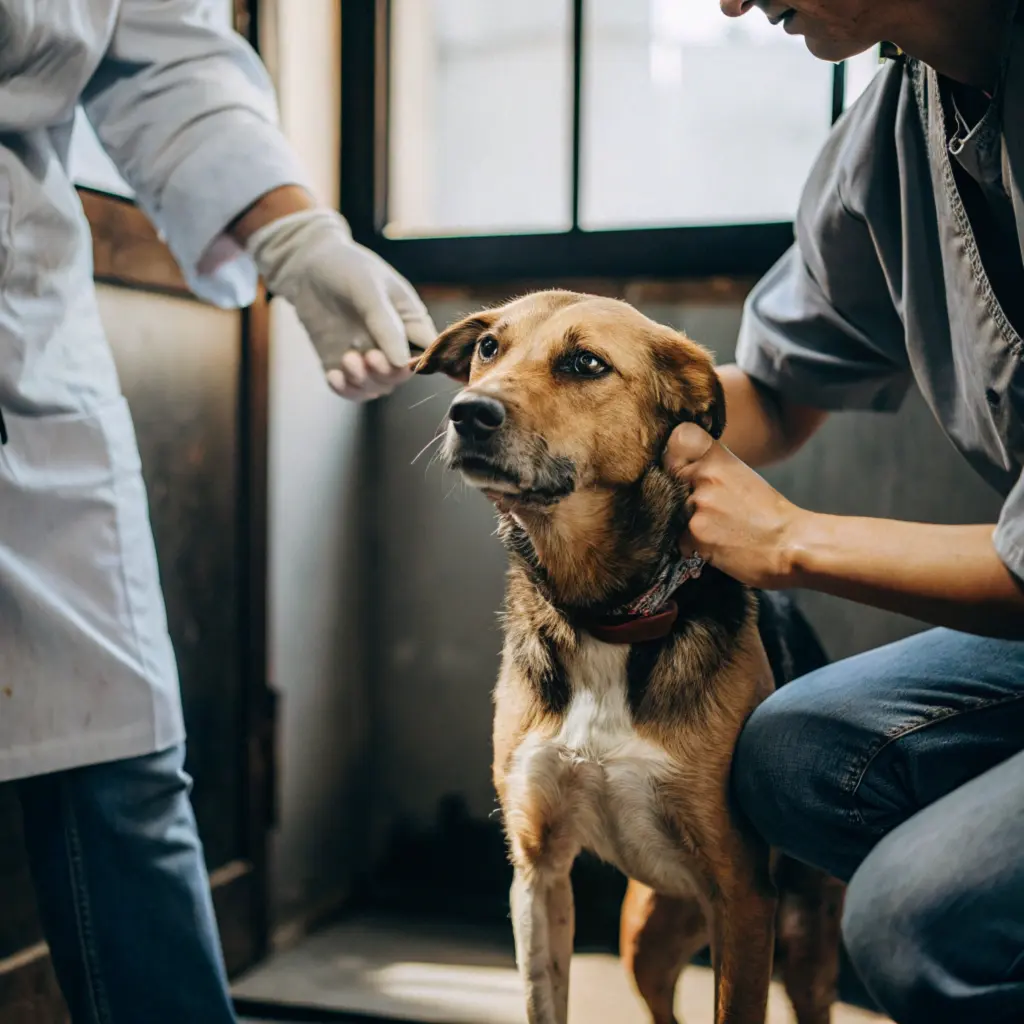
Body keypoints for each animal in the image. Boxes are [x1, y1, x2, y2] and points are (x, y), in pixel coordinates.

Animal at [413, 290, 839, 1024]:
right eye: (489, 349)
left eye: (586, 363)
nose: (468, 413)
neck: (608, 616)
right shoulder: (539, 873)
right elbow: (544, 999)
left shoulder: (743, 897)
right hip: (647, 932)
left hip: (804, 944)